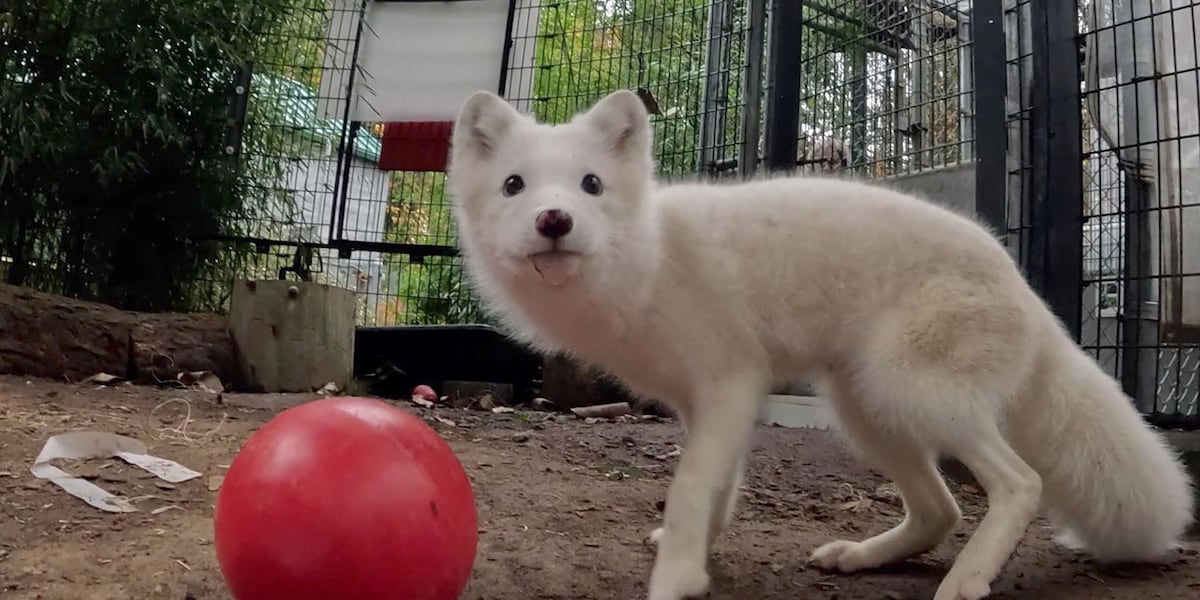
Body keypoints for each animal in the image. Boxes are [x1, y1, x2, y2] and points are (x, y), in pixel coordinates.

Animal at [446, 88, 1195, 600]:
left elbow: (690, 489)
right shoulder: (705, 403)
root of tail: (1027, 291)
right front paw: (697, 556)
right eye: (514, 185)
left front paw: (677, 577)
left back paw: (966, 580)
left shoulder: (731, 384)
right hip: (869, 411)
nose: (554, 220)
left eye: (591, 185)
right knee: (940, 510)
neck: (649, 255)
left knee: (1020, 484)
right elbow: (717, 490)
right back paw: (863, 557)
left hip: (915, 395)